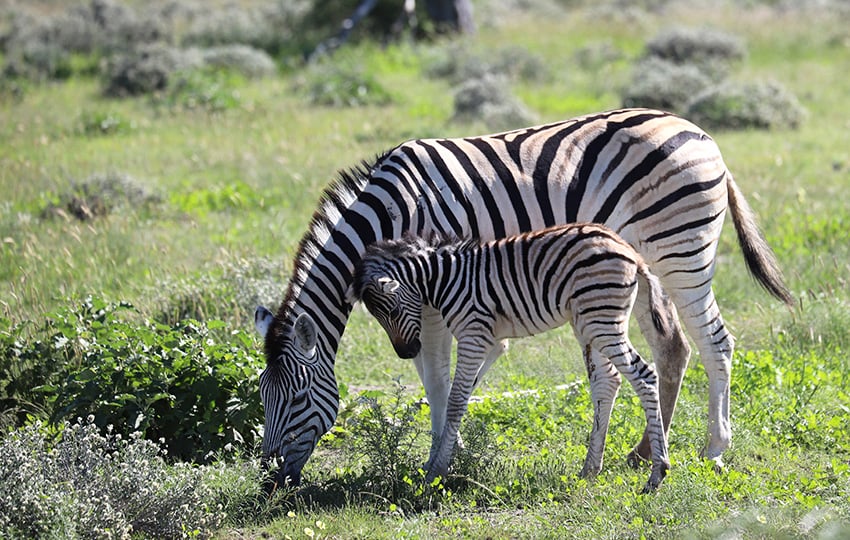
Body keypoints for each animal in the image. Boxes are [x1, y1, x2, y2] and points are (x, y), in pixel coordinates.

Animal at [348, 221, 672, 492]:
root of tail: (628, 249)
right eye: (377, 317)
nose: (407, 353)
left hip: (602, 319)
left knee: (644, 376)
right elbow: (461, 395)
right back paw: (590, 469)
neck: (447, 280)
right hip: (588, 322)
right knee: (607, 381)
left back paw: (657, 474)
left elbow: (455, 401)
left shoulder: (473, 334)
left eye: (391, 312)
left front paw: (437, 472)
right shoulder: (489, 338)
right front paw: (445, 461)